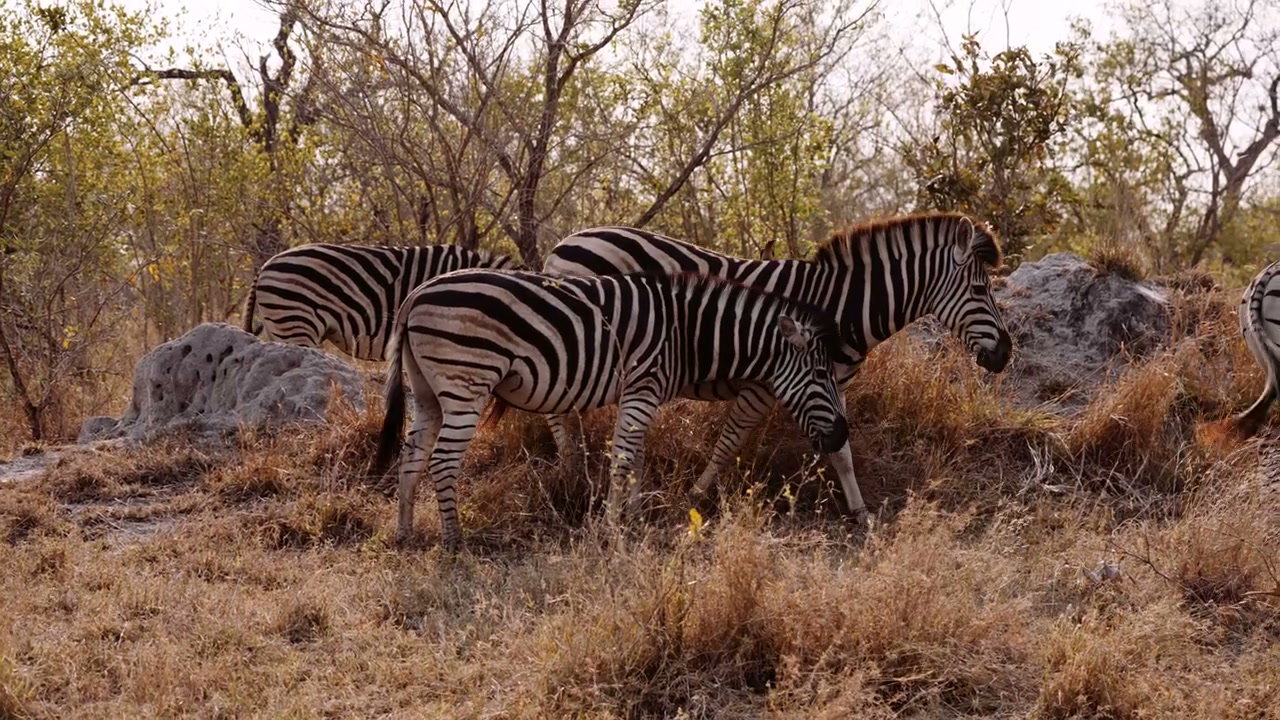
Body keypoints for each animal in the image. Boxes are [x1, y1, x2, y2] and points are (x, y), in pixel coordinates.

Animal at [372, 268, 852, 550]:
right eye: (821, 375)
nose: (841, 435)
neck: (686, 331)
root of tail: (416, 294)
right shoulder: (642, 386)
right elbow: (622, 461)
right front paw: (609, 529)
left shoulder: (641, 393)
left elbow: (635, 459)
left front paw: (634, 521)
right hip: (467, 379)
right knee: (443, 459)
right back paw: (456, 542)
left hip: (426, 389)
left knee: (412, 455)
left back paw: (404, 533)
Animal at [541, 212, 1013, 520]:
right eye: (979, 289)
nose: (1006, 354)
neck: (839, 305)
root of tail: (565, 242)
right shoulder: (768, 383)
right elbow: (728, 443)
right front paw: (692, 499)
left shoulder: (828, 384)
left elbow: (841, 450)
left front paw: (860, 513)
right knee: (559, 413)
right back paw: (572, 476)